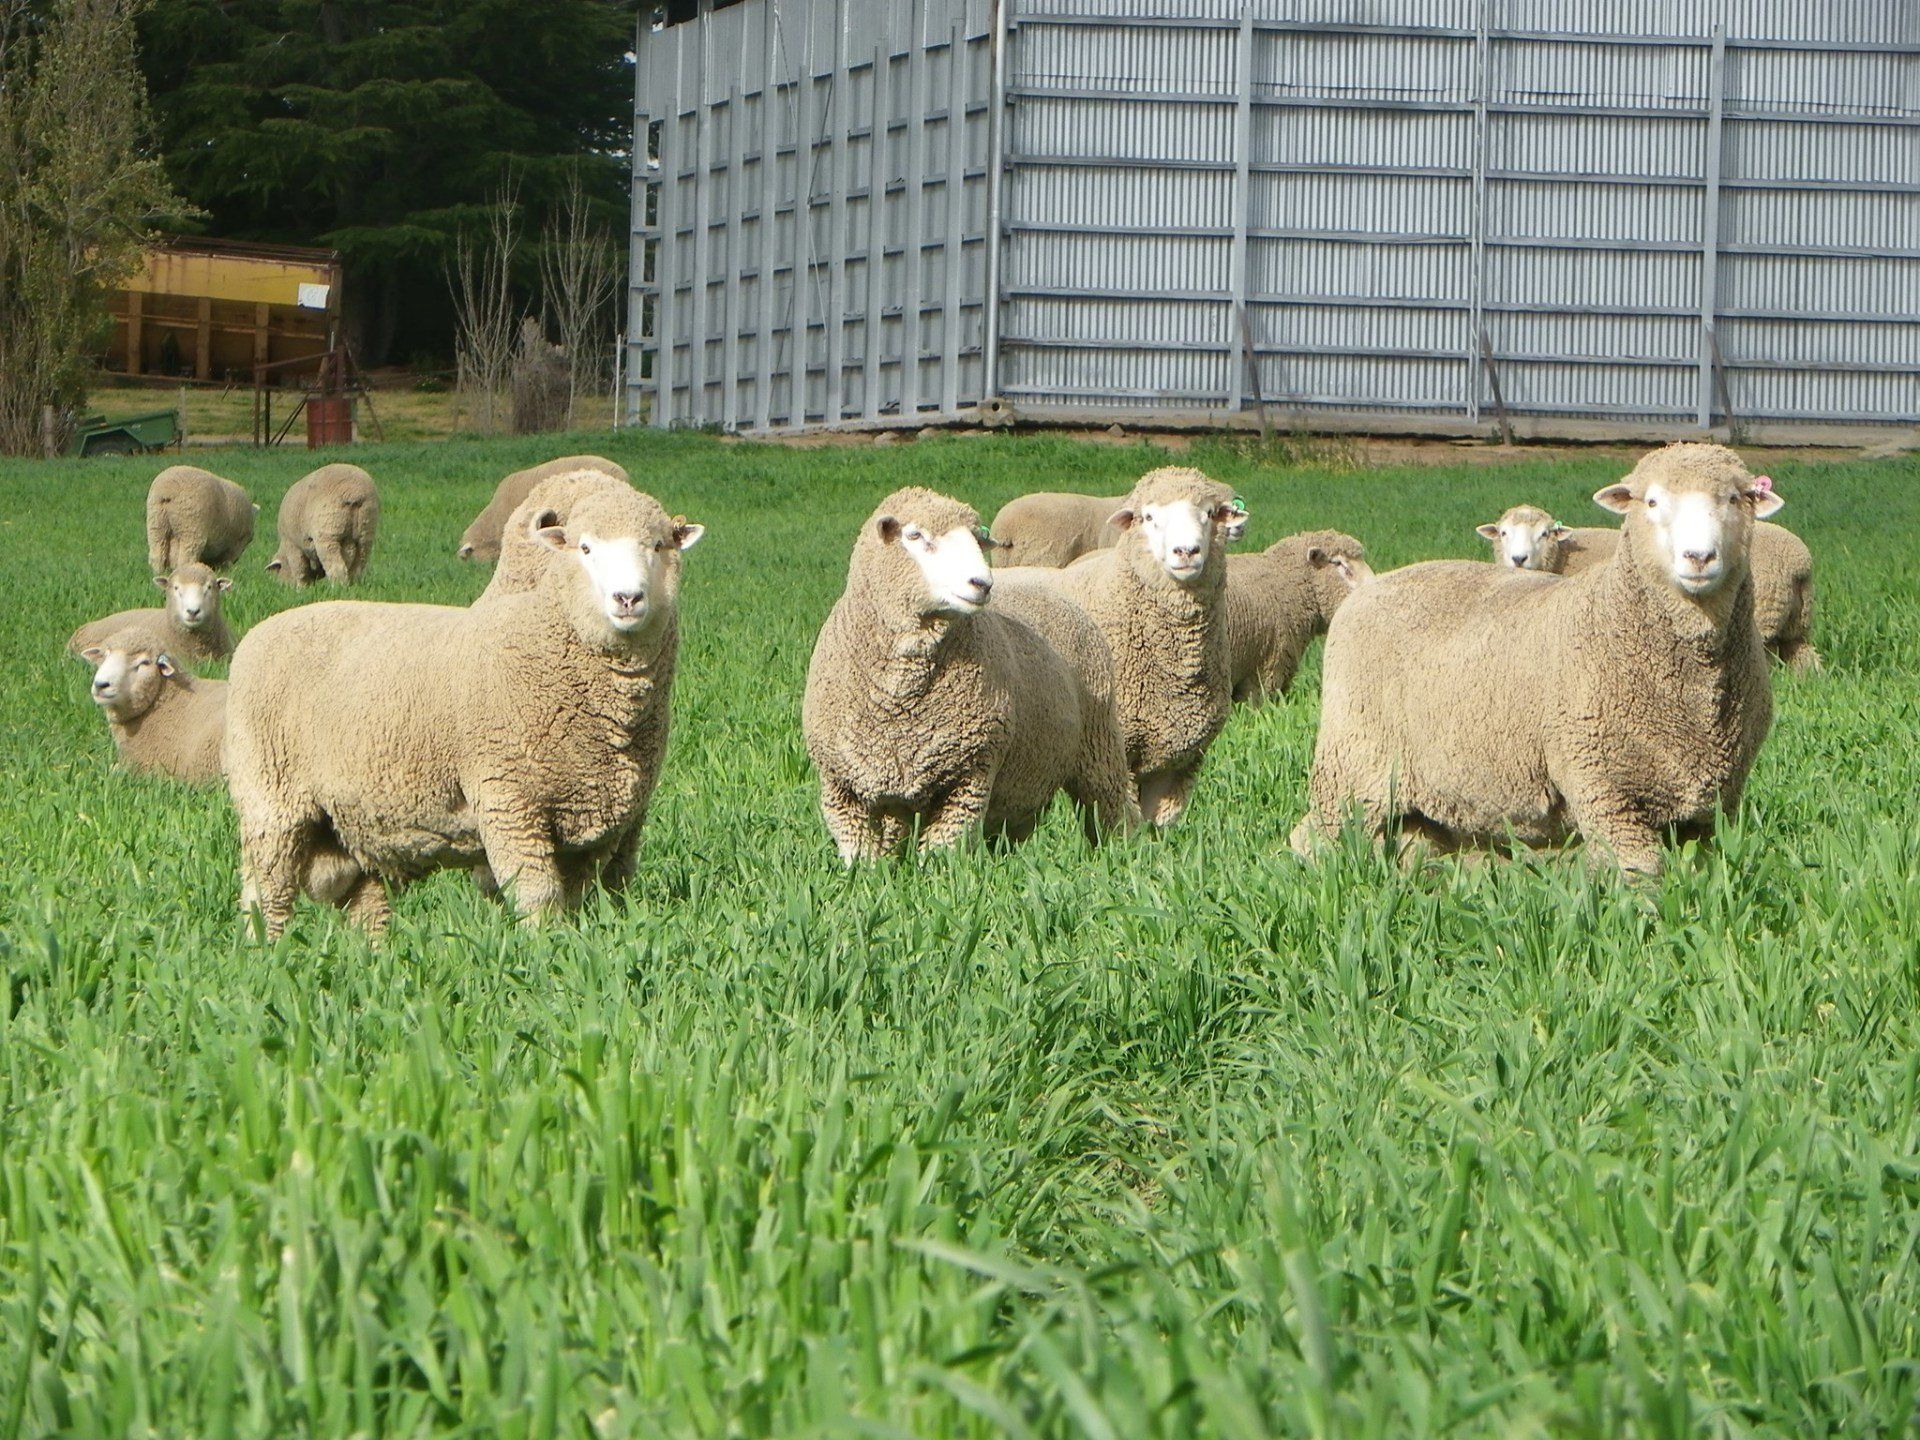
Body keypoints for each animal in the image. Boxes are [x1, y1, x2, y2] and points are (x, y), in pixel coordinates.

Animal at [224, 484, 703, 938]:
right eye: (585, 549)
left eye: (658, 545)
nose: (628, 598)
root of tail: (261, 631)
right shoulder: (508, 800)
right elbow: (538, 898)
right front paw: (544, 952)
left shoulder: (600, 823)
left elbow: (583, 899)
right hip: (270, 798)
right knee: (265, 893)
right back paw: (265, 950)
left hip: (354, 818)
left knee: (366, 904)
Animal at [802, 487, 1137, 860]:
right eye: (914, 535)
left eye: (977, 539)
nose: (982, 583)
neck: (899, 699)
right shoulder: (840, 786)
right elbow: (863, 859)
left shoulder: (970, 774)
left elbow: (941, 855)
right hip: (1025, 776)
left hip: (1099, 744)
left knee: (1111, 808)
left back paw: (1121, 855)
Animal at [1295, 443, 1783, 877]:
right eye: (1651, 501)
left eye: (1734, 498)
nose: (1699, 556)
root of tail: (1370, 589)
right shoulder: (1603, 788)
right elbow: (1640, 879)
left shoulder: (1712, 805)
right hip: (1353, 762)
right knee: (1314, 835)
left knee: (1417, 840)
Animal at [1477, 500, 1821, 671]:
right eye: (1504, 533)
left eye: (1545, 533)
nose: (1518, 559)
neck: (1562, 557)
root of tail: (1799, 562)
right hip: (1795, 622)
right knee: (1804, 656)